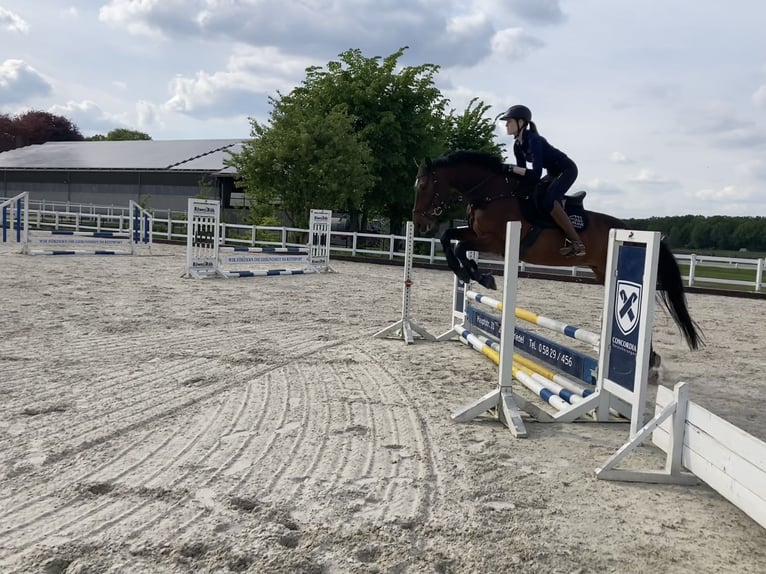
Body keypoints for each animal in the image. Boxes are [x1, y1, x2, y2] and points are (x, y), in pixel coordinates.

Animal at [412, 151, 704, 354]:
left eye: (424, 186)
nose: (419, 223)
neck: (492, 194)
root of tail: (628, 229)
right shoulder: (475, 234)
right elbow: (449, 238)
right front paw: (472, 273)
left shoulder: (495, 242)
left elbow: (460, 246)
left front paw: (480, 276)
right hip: (602, 272)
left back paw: (650, 362)